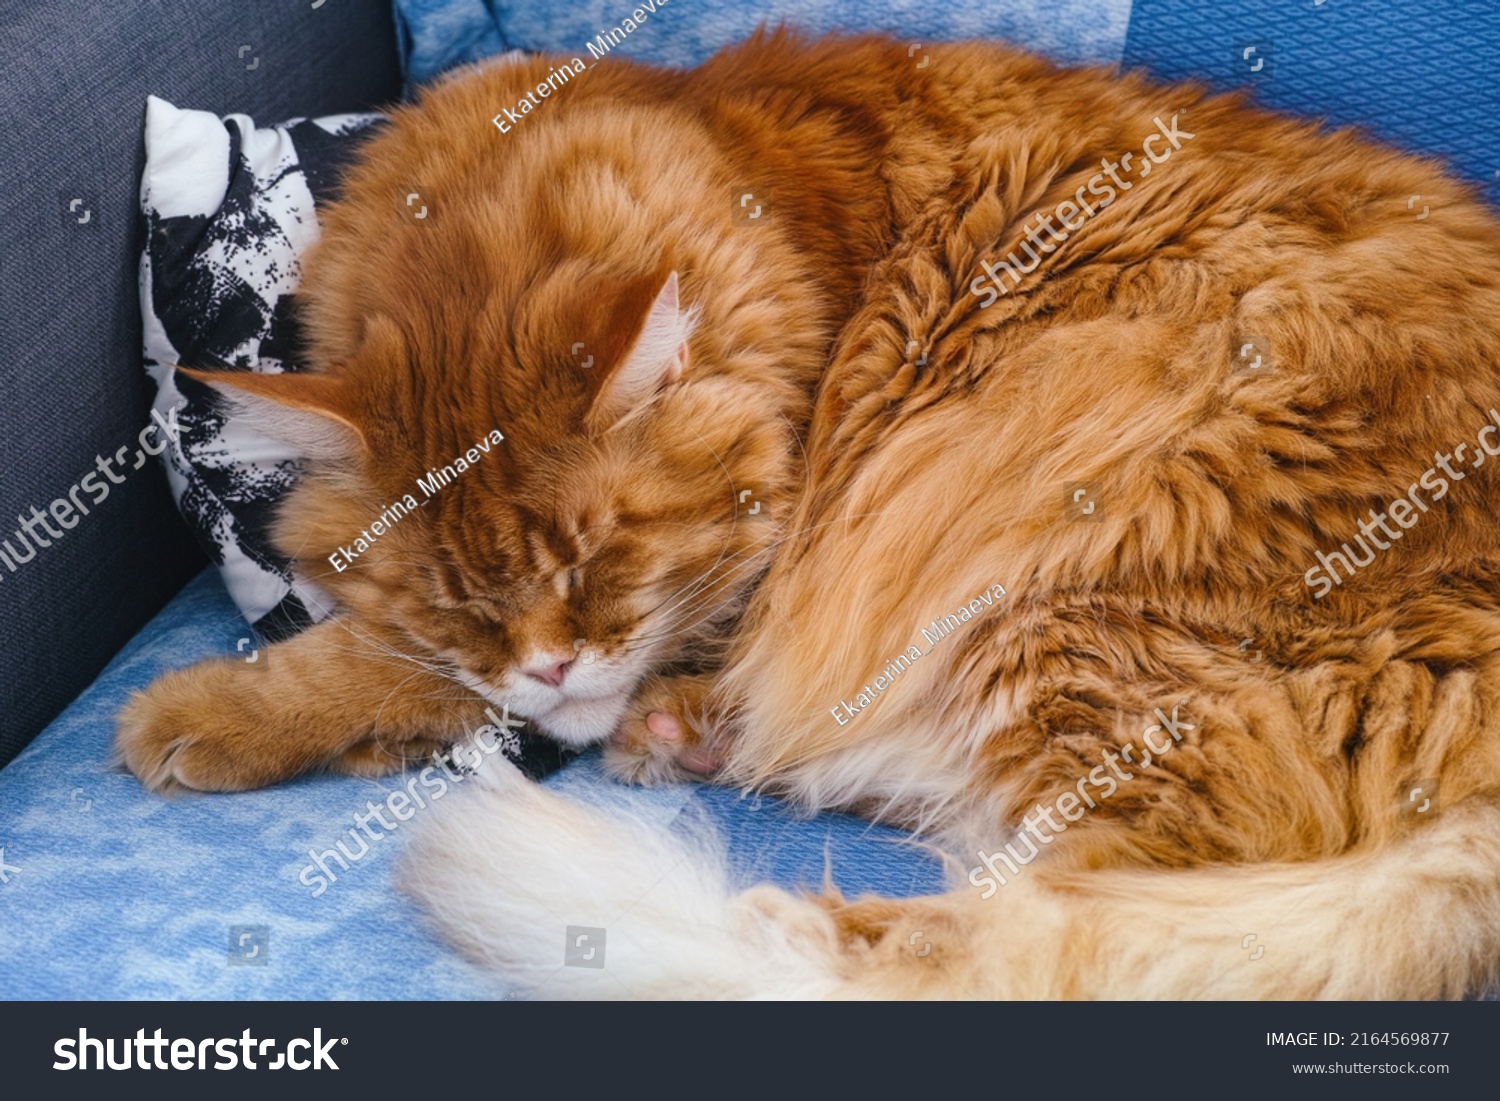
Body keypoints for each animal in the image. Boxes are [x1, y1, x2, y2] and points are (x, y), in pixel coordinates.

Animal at [114, 32, 1500, 1002]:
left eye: (599, 558)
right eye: (460, 598)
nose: (552, 665)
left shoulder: (760, 572)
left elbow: (372, 666)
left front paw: (202, 712)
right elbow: (420, 667)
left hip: (1057, 601)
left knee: (1051, 930)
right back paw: (690, 743)